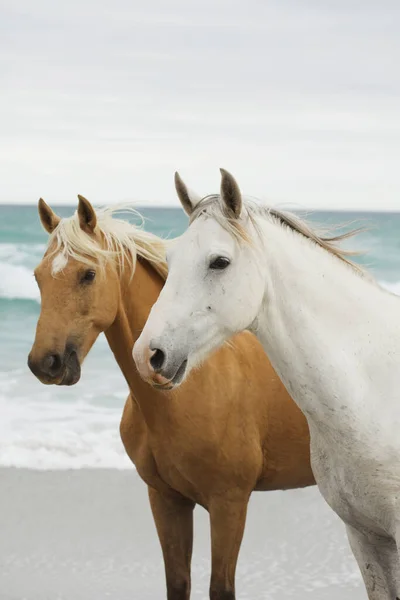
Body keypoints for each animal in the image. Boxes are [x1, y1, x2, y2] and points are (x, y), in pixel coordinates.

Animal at [28, 197, 316, 600]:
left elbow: (220, 588)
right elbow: (177, 582)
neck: (188, 391)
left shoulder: (229, 504)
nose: (45, 363)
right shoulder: (166, 500)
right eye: (38, 277)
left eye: (87, 274)